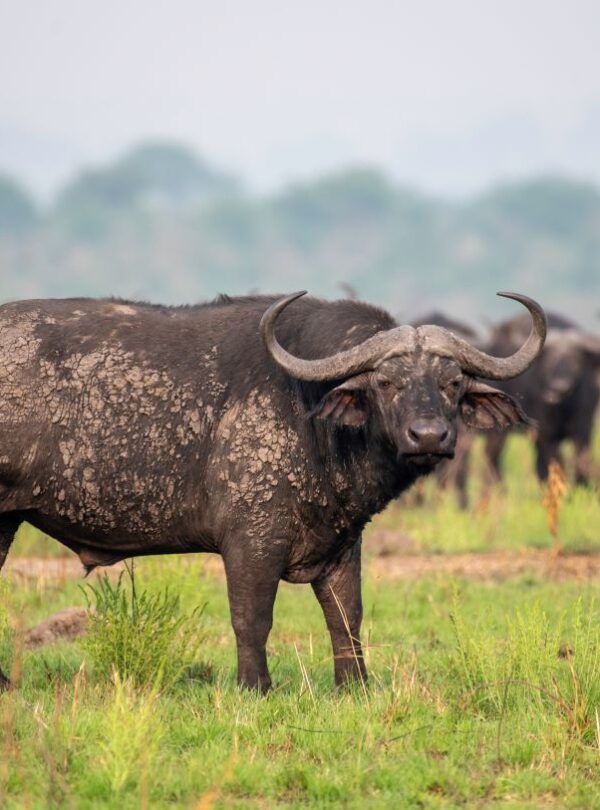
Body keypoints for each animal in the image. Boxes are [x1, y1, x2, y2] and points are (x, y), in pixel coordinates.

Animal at [0, 292, 545, 691]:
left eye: (452, 382)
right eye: (386, 382)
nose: (429, 436)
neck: (307, 413)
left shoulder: (343, 543)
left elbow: (347, 617)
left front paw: (355, 686)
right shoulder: (251, 541)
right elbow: (252, 617)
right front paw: (255, 687)